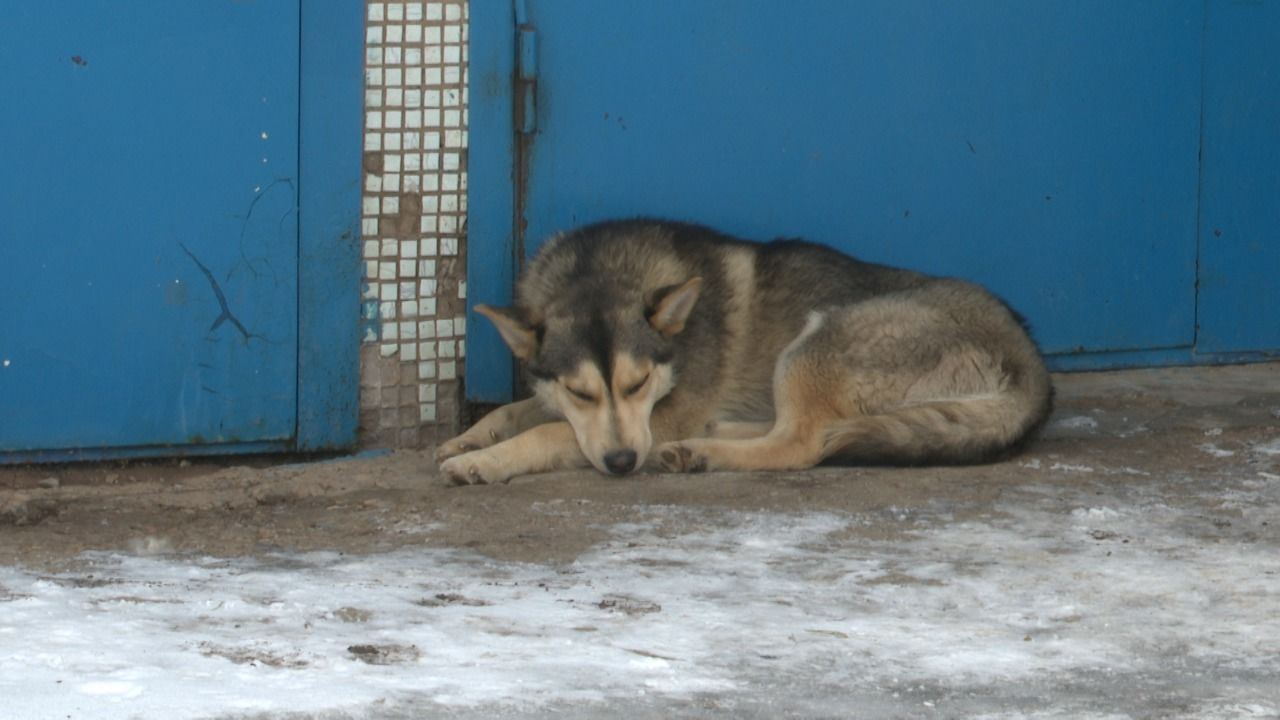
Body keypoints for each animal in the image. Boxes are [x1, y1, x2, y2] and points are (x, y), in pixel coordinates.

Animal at [435, 219, 1054, 481]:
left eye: (637, 384)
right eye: (580, 391)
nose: (624, 464)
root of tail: (1032, 361)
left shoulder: (653, 420)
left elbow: (544, 433)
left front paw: (481, 463)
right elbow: (520, 411)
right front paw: (469, 439)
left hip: (814, 342)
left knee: (803, 443)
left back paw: (702, 452)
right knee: (799, 429)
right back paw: (716, 435)